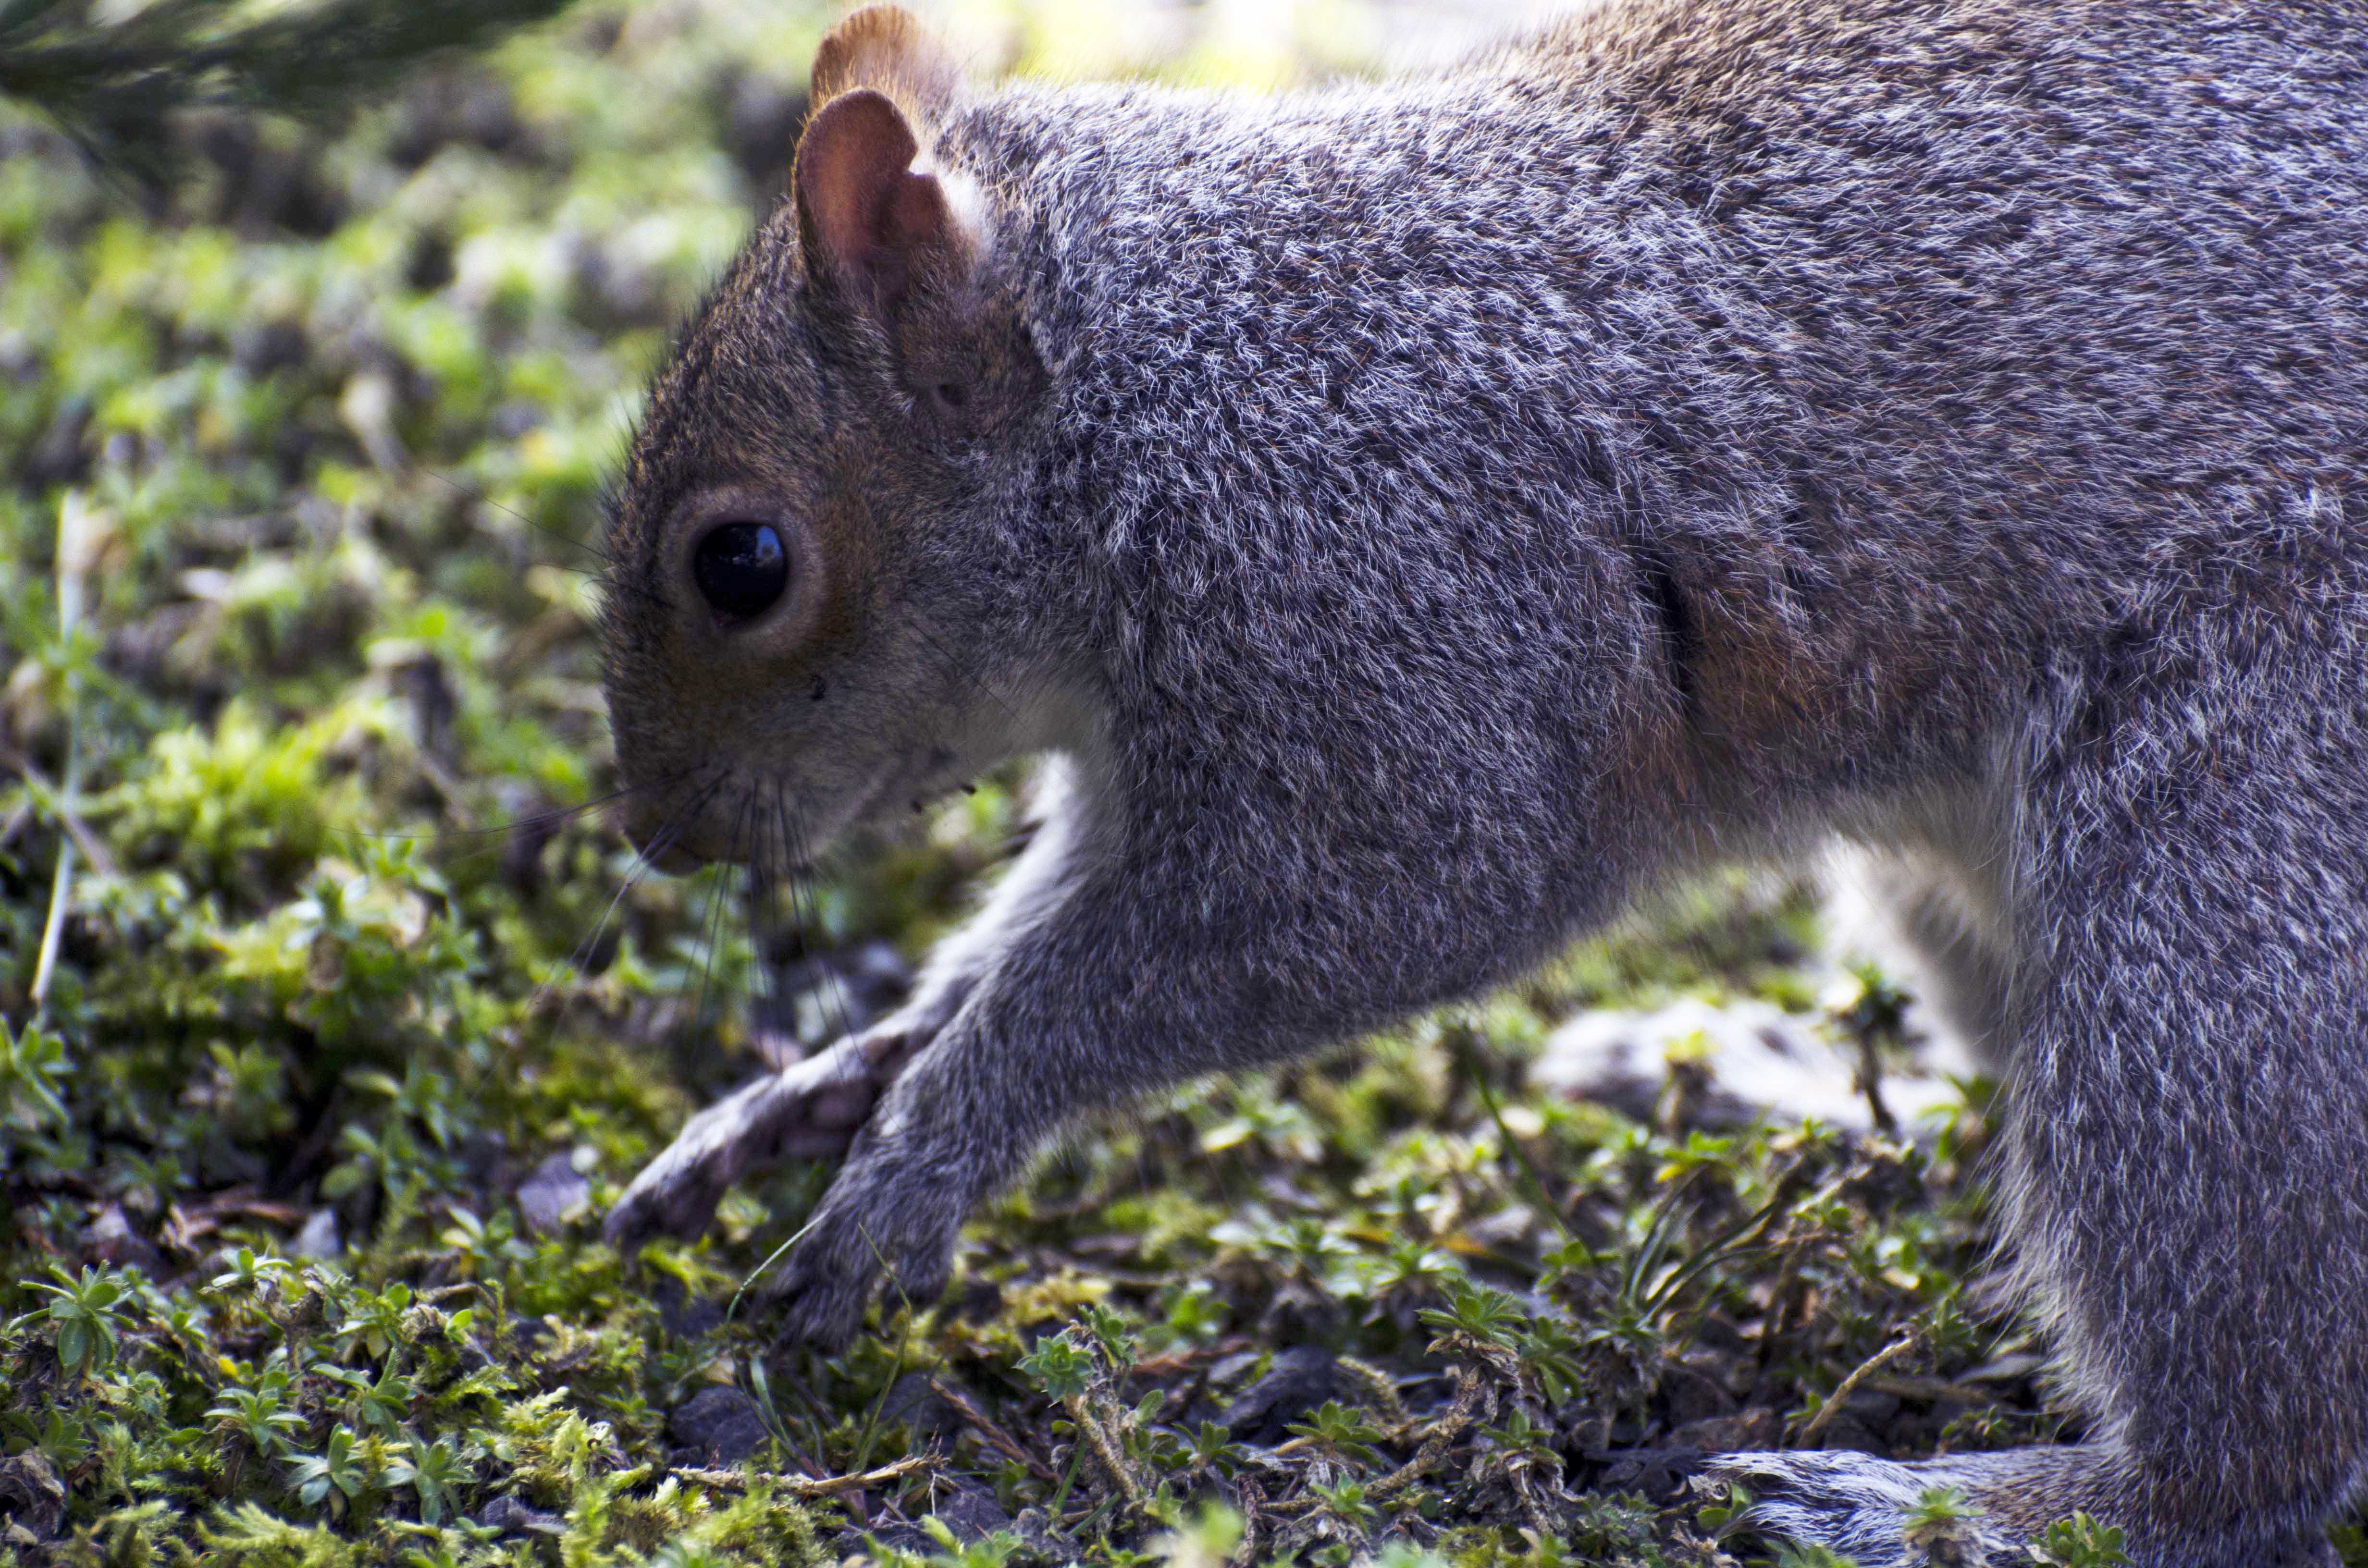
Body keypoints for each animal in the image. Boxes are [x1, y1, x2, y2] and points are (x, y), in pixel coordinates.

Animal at [601, 3, 2368, 1563]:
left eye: (741, 563)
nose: (661, 834)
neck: (1157, 376)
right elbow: (1001, 942)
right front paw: (824, 1085)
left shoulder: (1406, 621)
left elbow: (1311, 924)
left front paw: (918, 1157)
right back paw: (1742, 1077)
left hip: (2220, 887)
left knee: (2247, 1439)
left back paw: (1953, 1509)